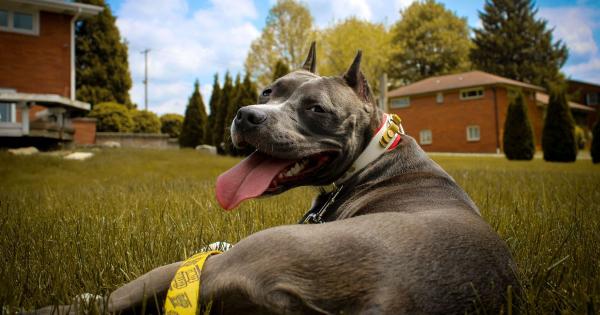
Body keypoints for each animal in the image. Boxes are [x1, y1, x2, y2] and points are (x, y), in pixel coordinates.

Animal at [35, 42, 516, 315]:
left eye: (316, 109)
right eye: (269, 91)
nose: (247, 114)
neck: (375, 155)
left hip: (219, 262)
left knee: (107, 302)